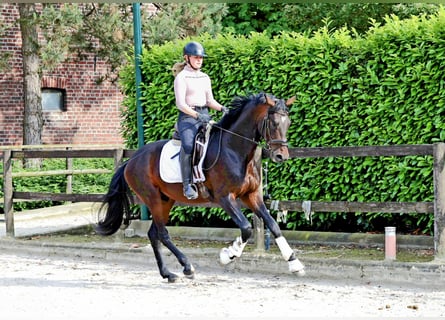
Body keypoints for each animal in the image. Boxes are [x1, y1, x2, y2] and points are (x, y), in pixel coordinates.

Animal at [96, 91, 306, 282]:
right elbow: (246, 227)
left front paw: (294, 263)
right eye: (274, 123)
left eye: (288, 123)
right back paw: (187, 267)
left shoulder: (252, 195)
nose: (281, 156)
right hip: (152, 199)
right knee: (163, 234)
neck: (235, 149)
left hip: (165, 200)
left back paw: (168, 274)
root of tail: (130, 161)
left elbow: (273, 225)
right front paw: (228, 254)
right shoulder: (225, 197)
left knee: (154, 234)